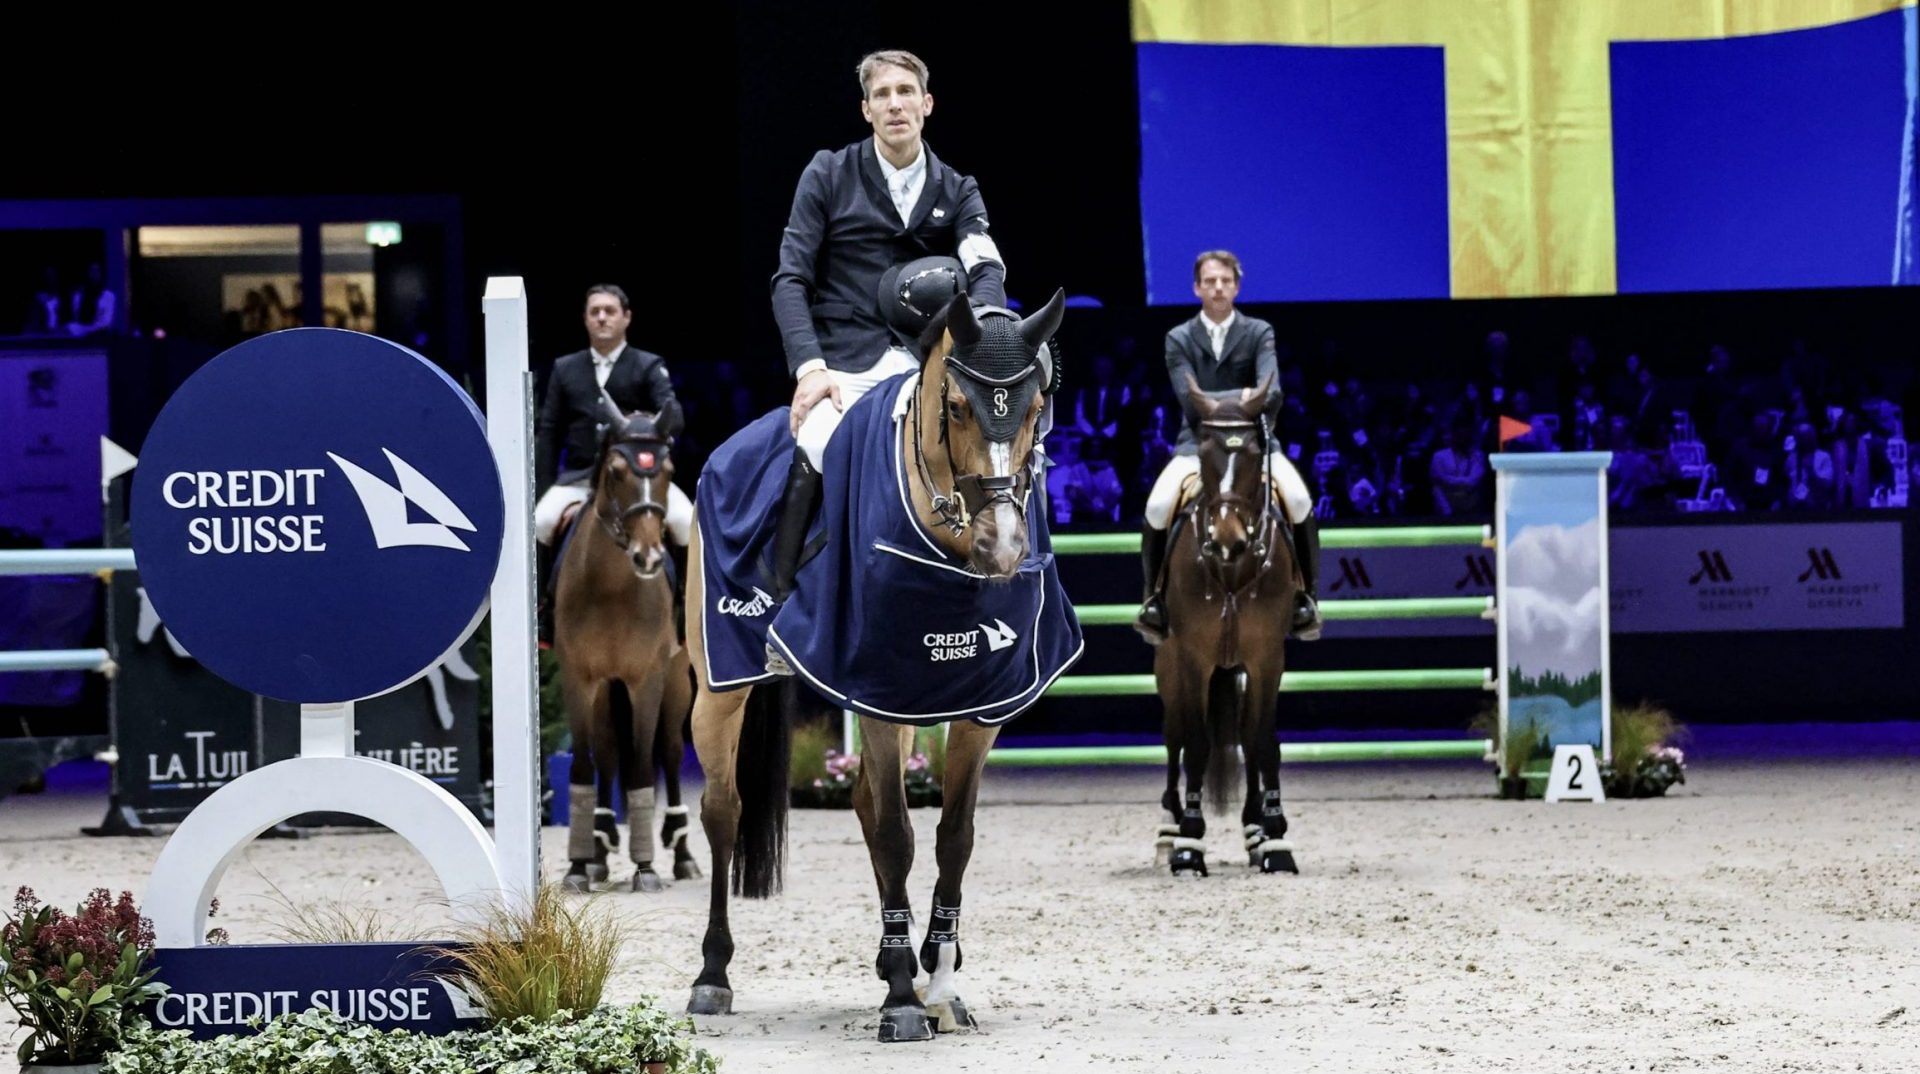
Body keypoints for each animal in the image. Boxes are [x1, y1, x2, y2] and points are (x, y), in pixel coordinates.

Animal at [552, 399, 701, 893]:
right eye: (616, 472)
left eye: (668, 470)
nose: (649, 557)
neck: (612, 588)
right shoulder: (581, 677)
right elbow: (586, 763)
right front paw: (578, 866)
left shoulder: (645, 678)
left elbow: (641, 766)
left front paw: (646, 868)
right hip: (605, 689)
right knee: (607, 750)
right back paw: (599, 849)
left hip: (677, 680)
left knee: (670, 751)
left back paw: (682, 852)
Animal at [683, 290, 1077, 1042]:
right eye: (955, 406)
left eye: (1037, 407)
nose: (1005, 547)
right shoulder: (878, 691)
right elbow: (898, 835)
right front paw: (902, 999)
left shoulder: (977, 706)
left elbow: (954, 837)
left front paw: (940, 979)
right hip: (721, 689)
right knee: (723, 810)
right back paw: (712, 975)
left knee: (863, 802)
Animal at [1151, 375, 1300, 877]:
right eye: (1204, 451)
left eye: (1254, 453)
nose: (1228, 541)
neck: (1232, 572)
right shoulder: (1194, 659)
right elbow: (1196, 744)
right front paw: (1188, 846)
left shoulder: (1266, 658)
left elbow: (1262, 742)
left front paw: (1274, 839)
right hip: (1171, 669)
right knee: (1174, 738)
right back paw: (1167, 834)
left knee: (1244, 738)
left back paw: (1254, 831)